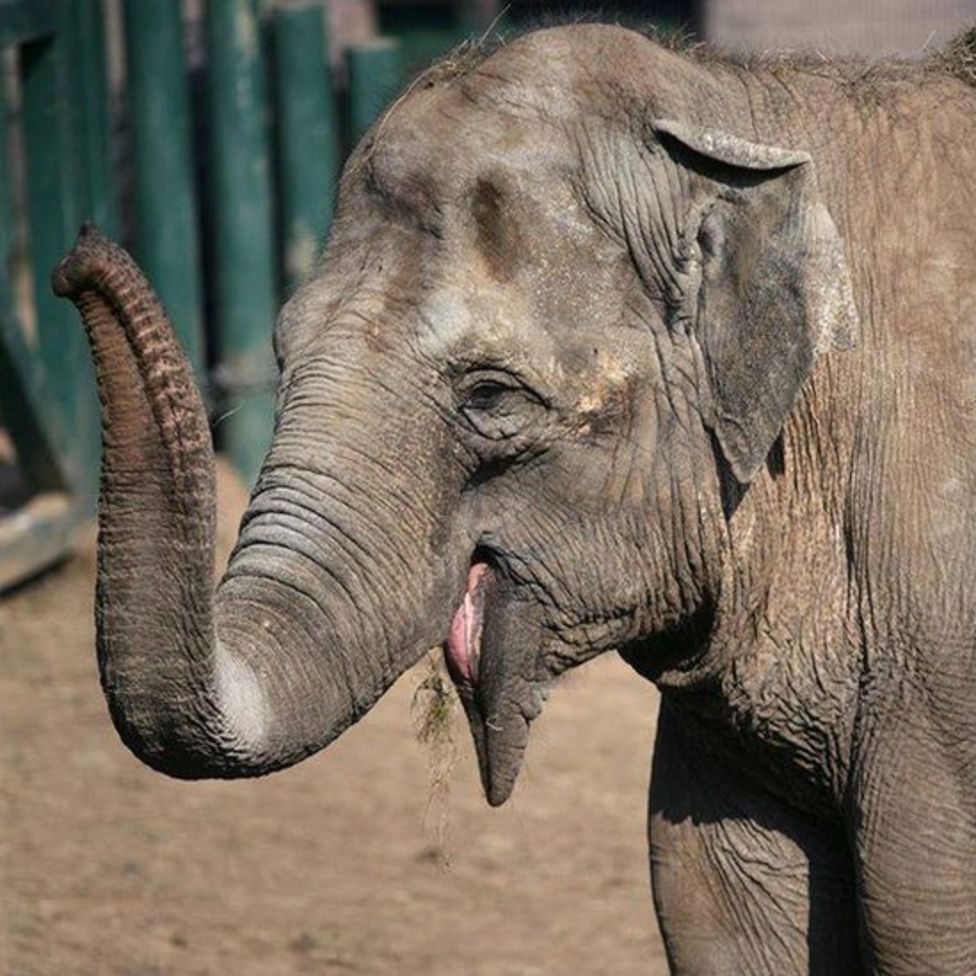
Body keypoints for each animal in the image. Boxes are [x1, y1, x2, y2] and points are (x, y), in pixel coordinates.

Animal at [52, 22, 976, 976]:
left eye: (491, 397)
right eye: (280, 355)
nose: (74, 257)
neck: (742, 109)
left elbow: (929, 929)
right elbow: (716, 910)